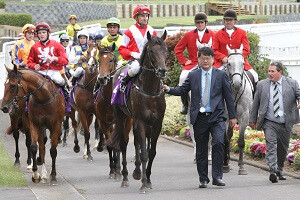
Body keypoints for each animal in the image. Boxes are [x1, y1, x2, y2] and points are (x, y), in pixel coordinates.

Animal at [111, 30, 168, 192]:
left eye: (166, 50)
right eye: (152, 51)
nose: (162, 70)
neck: (150, 91)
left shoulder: (156, 123)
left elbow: (150, 152)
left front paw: (147, 179)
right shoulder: (141, 121)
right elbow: (143, 153)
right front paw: (143, 182)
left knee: (136, 142)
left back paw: (136, 172)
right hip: (121, 116)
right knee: (123, 143)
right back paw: (124, 177)